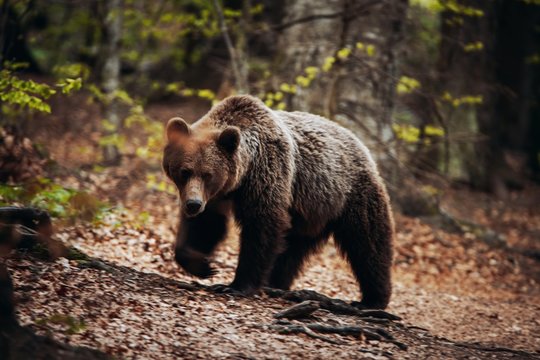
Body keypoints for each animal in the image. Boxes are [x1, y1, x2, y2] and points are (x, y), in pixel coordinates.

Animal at [162, 95, 394, 310]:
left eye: (208, 174)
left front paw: (235, 285)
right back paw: (275, 284)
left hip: (350, 195)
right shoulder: (216, 197)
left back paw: (372, 300)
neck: (240, 179)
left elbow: (262, 228)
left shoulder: (267, 175)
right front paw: (202, 265)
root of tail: (362, 145)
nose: (193, 204)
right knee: (292, 251)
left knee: (368, 243)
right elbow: (206, 225)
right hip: (310, 213)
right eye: (184, 171)